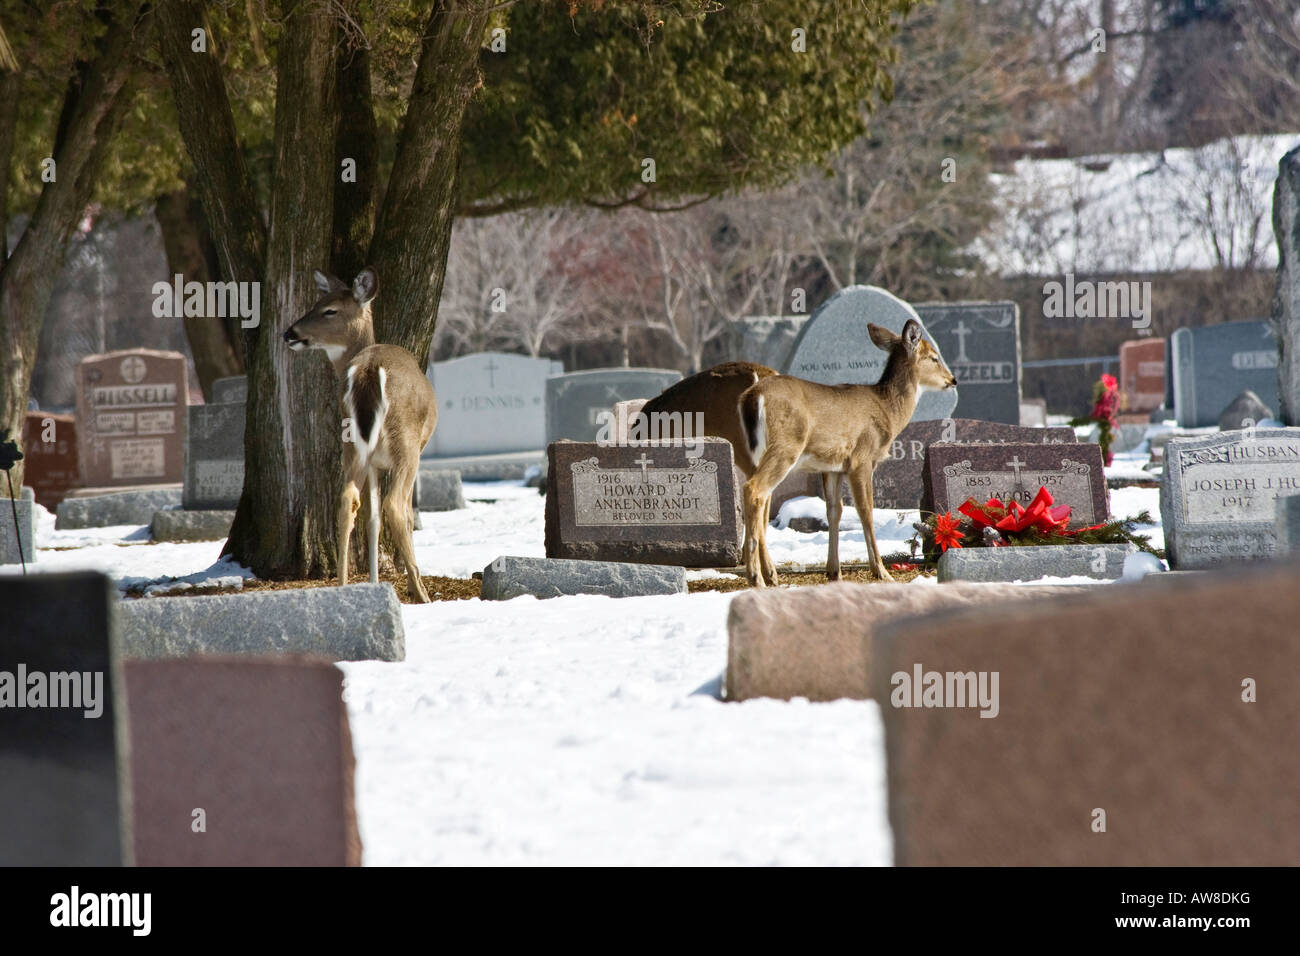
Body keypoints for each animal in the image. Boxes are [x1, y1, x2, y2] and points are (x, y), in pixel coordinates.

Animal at [282, 265, 439, 600]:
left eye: (328, 309)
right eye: (318, 304)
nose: (290, 333)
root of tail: (367, 369)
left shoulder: (373, 462)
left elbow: (372, 518)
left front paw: (374, 580)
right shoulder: (410, 451)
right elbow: (403, 514)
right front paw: (406, 583)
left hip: (351, 443)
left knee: (346, 500)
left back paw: (343, 586)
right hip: (405, 443)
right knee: (396, 506)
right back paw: (421, 592)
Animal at [743, 321, 956, 587]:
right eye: (934, 357)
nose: (952, 379)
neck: (888, 410)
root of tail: (752, 397)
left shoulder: (832, 467)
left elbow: (834, 511)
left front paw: (834, 571)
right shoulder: (861, 458)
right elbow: (866, 511)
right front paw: (881, 571)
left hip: (755, 453)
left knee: (760, 500)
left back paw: (768, 574)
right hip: (785, 446)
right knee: (754, 490)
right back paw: (756, 577)